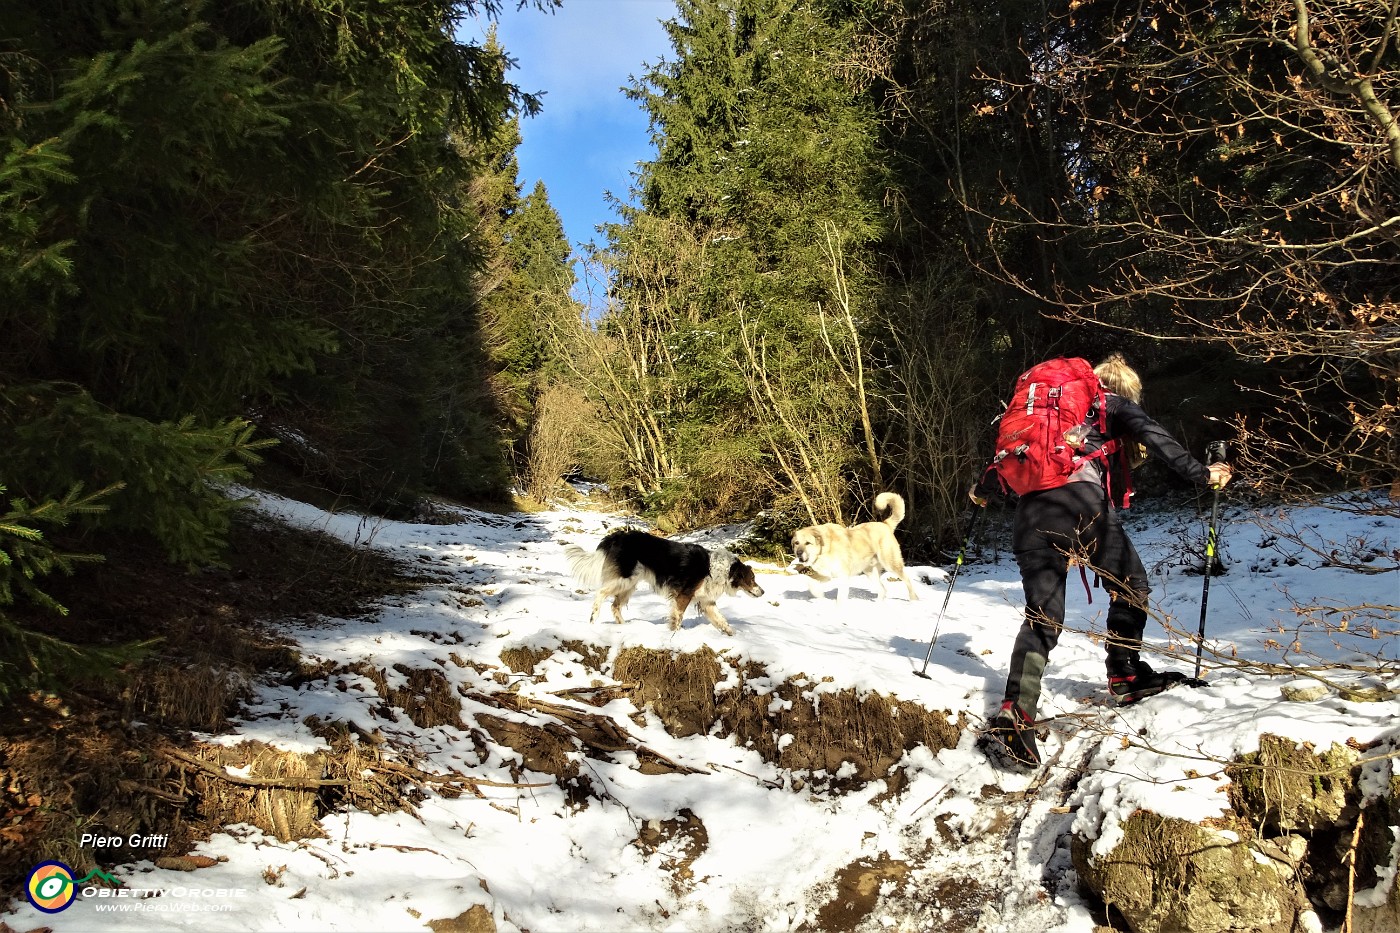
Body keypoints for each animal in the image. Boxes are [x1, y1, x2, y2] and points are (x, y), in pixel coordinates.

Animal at [562, 526, 767, 636]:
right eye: (752, 579)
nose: (763, 592)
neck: (722, 569)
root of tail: (617, 536)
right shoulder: (684, 595)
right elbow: (678, 616)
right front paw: (675, 633)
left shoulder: (706, 601)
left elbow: (721, 620)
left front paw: (732, 634)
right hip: (625, 579)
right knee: (601, 593)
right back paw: (593, 618)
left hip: (630, 584)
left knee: (615, 605)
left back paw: (625, 626)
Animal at [795, 490, 924, 599]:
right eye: (796, 543)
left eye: (807, 543)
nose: (798, 553)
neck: (825, 548)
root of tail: (885, 524)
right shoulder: (827, 574)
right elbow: (810, 581)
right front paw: (818, 594)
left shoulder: (843, 576)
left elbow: (840, 598)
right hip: (870, 571)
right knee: (882, 590)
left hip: (891, 564)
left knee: (907, 580)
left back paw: (913, 600)